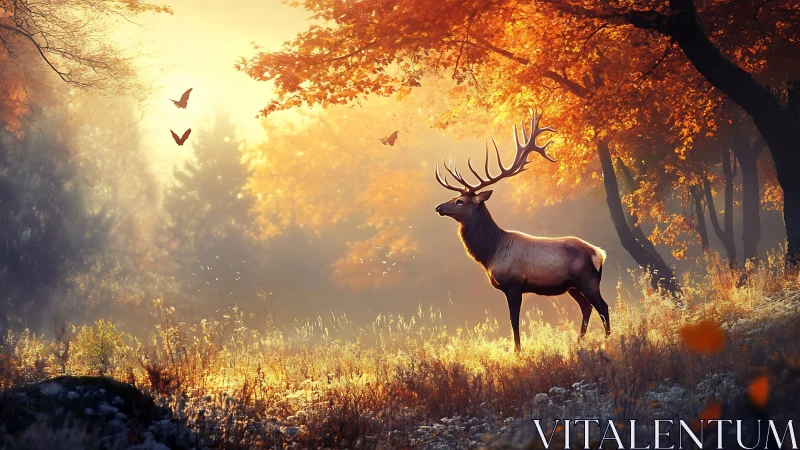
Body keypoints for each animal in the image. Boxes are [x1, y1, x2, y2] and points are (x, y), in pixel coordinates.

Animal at [434, 109, 610, 352]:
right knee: (587, 307)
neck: (491, 252)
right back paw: (579, 342)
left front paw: (517, 352)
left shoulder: (514, 283)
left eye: (460, 201)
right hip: (572, 286)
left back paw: (608, 340)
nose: (439, 207)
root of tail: (599, 253)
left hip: (588, 280)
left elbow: (514, 320)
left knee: (603, 306)